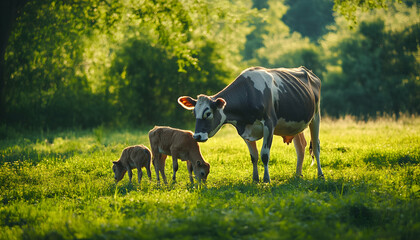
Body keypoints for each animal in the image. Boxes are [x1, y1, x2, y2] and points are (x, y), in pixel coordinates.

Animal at [177, 65, 324, 182]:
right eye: (194, 113)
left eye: (208, 113)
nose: (197, 136)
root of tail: (307, 71)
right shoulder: (245, 130)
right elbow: (254, 156)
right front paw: (255, 179)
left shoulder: (269, 124)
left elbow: (264, 155)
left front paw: (266, 179)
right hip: (295, 125)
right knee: (300, 147)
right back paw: (298, 175)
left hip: (316, 116)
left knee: (316, 147)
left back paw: (320, 174)